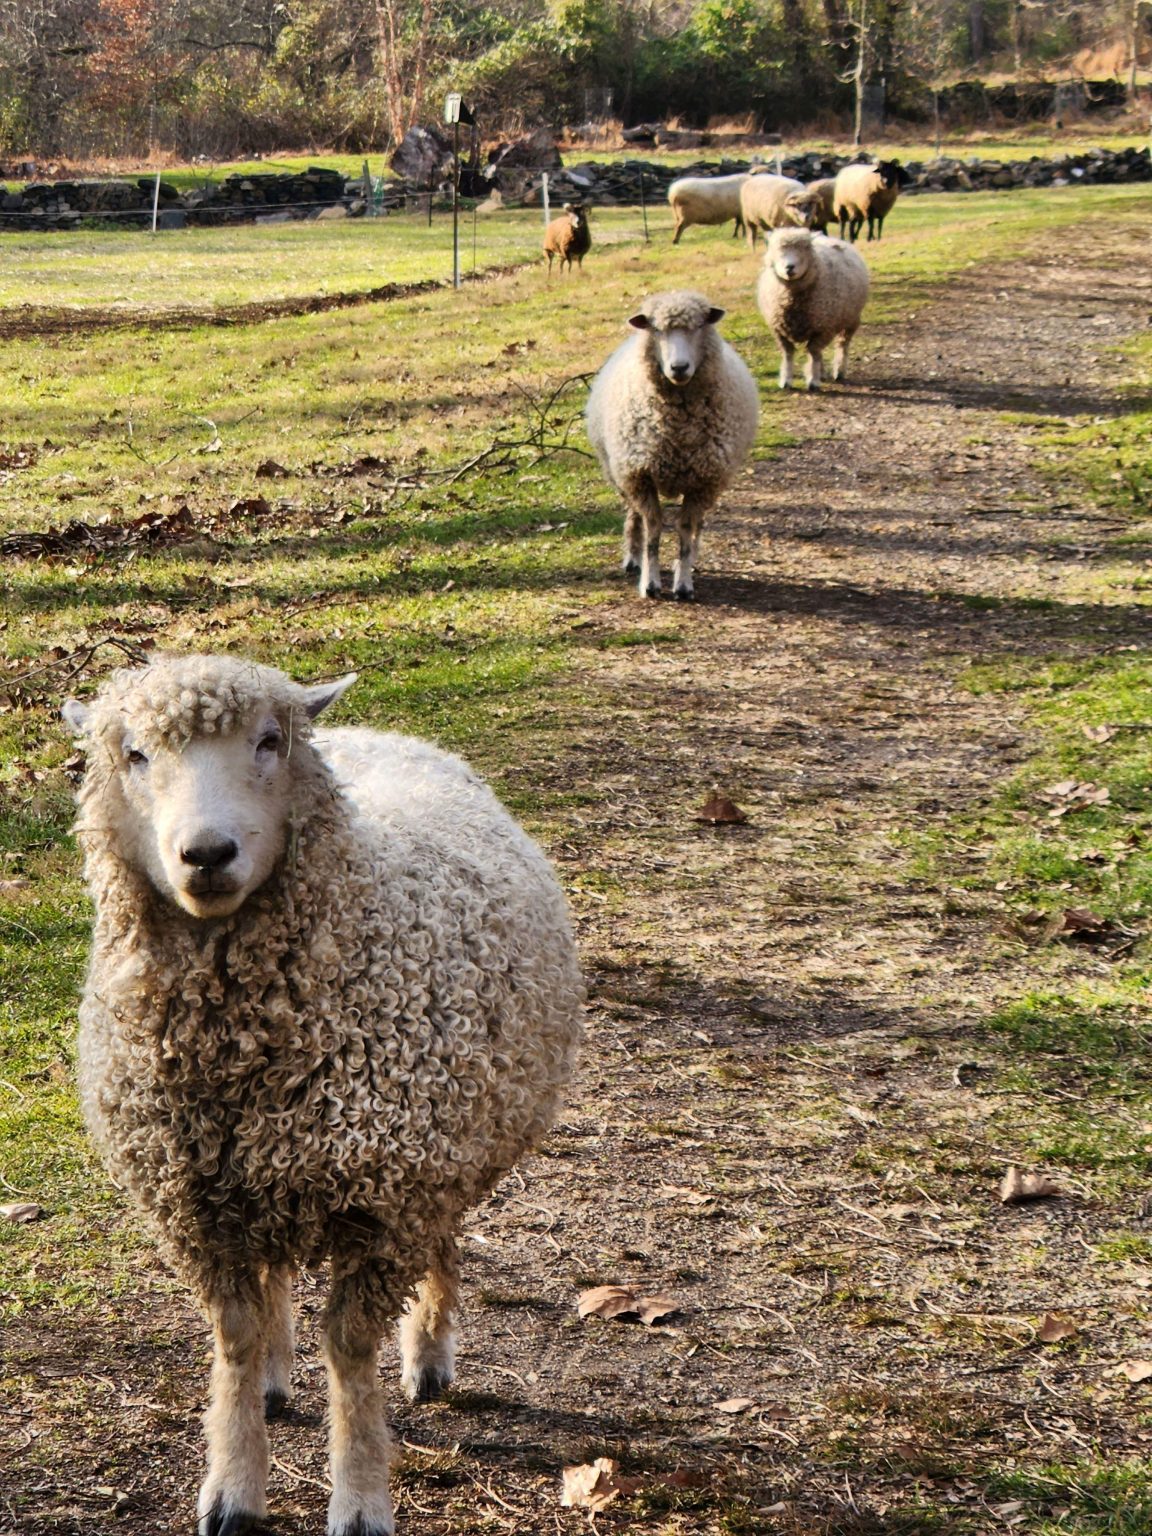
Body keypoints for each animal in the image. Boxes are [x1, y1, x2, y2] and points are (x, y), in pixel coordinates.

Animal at [61, 653, 583, 1536]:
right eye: (133, 754)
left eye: (269, 742)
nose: (206, 853)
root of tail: (372, 730)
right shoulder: (197, 1207)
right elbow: (234, 1340)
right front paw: (233, 1487)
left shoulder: (388, 1199)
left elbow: (349, 1349)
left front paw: (361, 1494)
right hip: (255, 1176)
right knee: (272, 1280)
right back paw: (278, 1377)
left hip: (447, 1149)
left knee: (442, 1246)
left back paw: (430, 1356)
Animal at [585, 289, 759, 600]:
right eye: (656, 329)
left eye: (699, 325)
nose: (679, 368)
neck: (679, 429)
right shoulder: (640, 475)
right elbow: (652, 528)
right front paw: (650, 582)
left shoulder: (703, 479)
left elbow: (686, 529)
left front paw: (684, 582)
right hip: (621, 473)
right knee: (634, 516)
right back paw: (633, 558)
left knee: (697, 525)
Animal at [756, 227, 870, 391]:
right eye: (776, 249)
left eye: (805, 248)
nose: (789, 267)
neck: (793, 301)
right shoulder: (778, 329)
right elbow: (788, 353)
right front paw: (786, 380)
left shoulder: (823, 328)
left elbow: (813, 352)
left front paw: (813, 381)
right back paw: (822, 373)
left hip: (851, 319)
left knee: (842, 345)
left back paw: (839, 371)